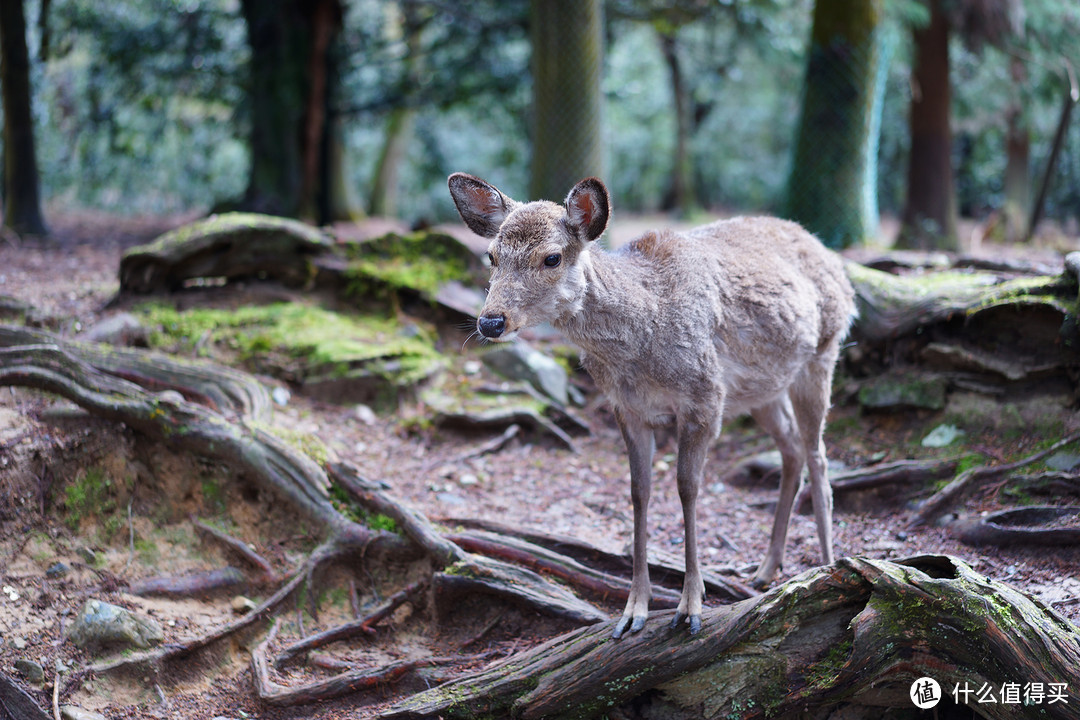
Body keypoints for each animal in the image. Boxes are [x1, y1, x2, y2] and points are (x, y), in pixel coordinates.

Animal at [444, 172, 851, 634]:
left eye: (551, 258)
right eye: (491, 256)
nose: (491, 322)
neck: (643, 339)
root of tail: (833, 259)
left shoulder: (706, 395)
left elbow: (688, 489)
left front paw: (690, 606)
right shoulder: (627, 408)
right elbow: (639, 492)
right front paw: (633, 609)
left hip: (822, 354)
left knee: (819, 455)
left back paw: (826, 565)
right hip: (763, 389)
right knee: (792, 450)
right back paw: (766, 569)